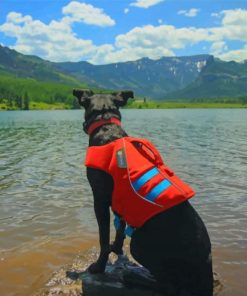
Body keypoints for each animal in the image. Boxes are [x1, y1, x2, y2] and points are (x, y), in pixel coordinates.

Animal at [73, 89, 212, 296]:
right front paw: (116, 248)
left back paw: (134, 276)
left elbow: (103, 239)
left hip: (138, 244)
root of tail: (207, 270)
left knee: (168, 287)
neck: (106, 124)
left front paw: (99, 266)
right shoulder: (120, 202)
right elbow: (119, 229)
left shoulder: (100, 200)